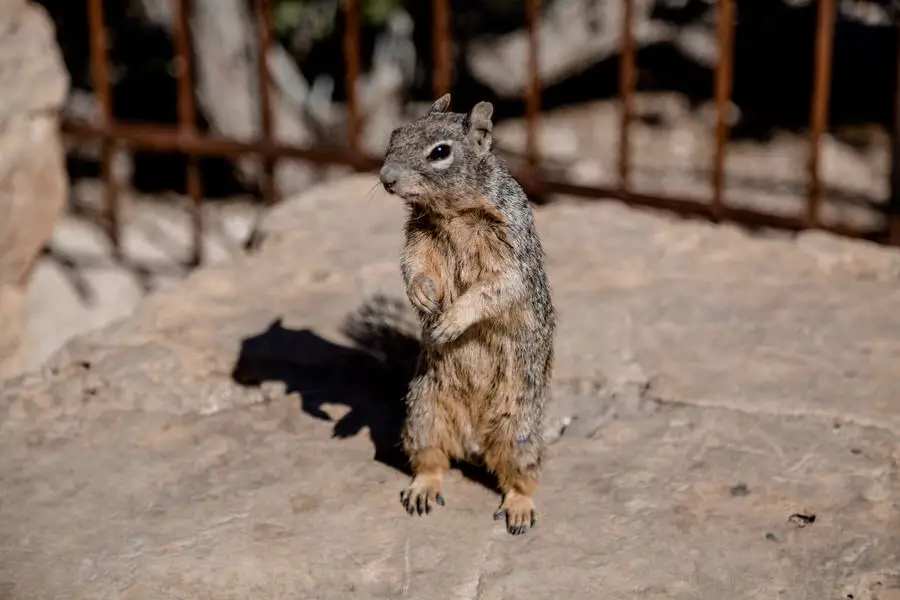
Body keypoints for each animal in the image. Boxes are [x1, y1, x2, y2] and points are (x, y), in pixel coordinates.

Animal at [378, 92, 556, 536]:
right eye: (395, 134)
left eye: (440, 152)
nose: (386, 177)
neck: (452, 213)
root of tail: (474, 436)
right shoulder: (419, 238)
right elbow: (414, 265)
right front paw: (421, 296)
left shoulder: (511, 251)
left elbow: (496, 288)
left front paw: (452, 320)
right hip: (424, 415)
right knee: (433, 459)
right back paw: (423, 488)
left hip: (518, 430)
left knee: (519, 476)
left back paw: (519, 508)